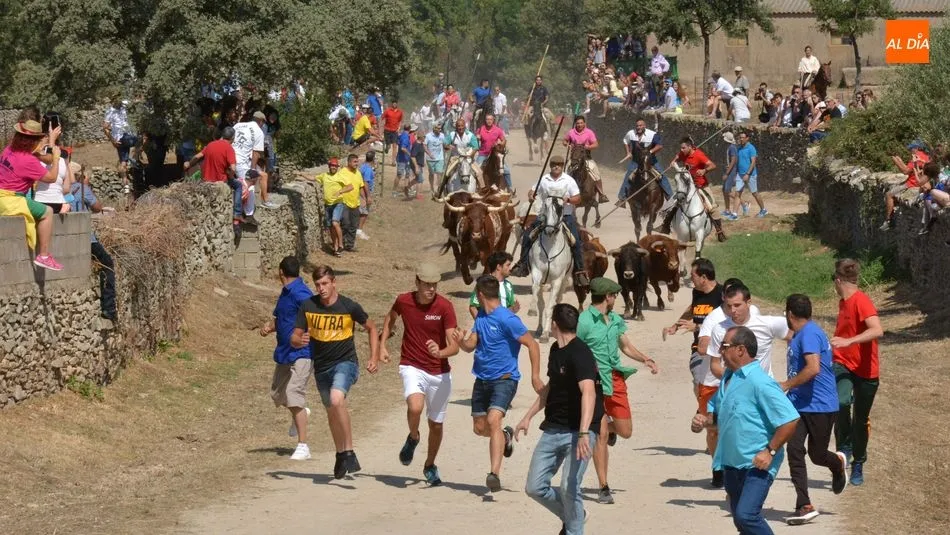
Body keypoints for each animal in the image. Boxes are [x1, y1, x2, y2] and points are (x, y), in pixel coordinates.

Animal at [528, 196, 573, 342]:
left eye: (560, 208)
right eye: (545, 206)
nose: (549, 230)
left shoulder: (557, 280)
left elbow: (550, 307)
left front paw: (546, 334)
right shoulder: (537, 273)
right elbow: (536, 291)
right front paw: (532, 309)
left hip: (564, 281)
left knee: (556, 302)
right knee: (542, 303)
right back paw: (539, 329)